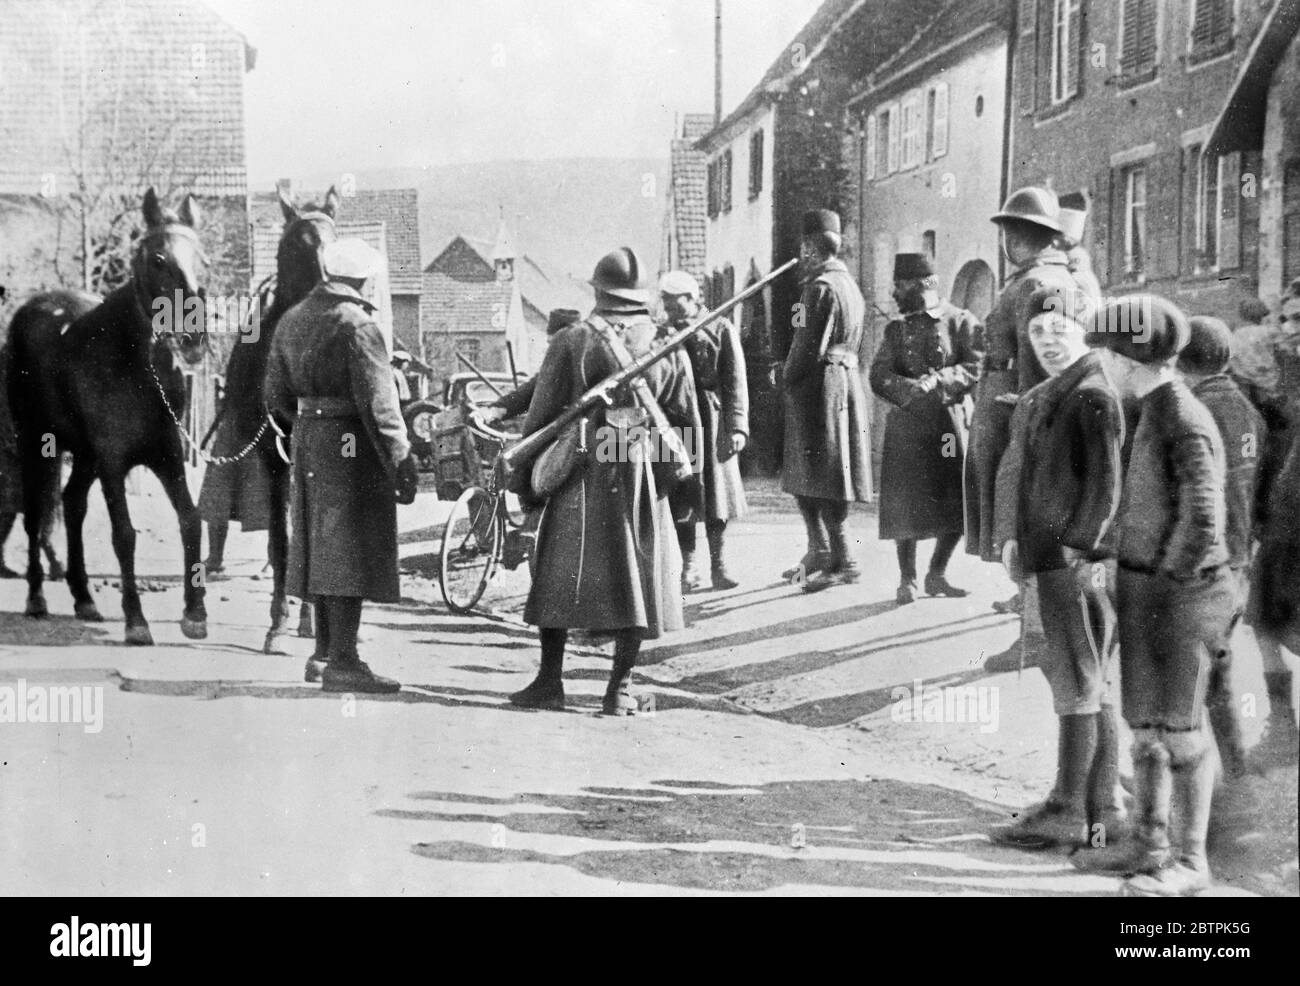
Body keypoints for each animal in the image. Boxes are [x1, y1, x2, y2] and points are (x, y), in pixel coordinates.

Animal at [7, 188, 210, 645]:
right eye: (158, 259)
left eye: (202, 259)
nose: (193, 338)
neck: (136, 364)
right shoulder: (115, 462)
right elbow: (125, 535)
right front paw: (136, 621)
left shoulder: (167, 455)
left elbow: (190, 519)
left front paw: (195, 613)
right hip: (35, 444)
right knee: (36, 514)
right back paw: (36, 598)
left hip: (84, 456)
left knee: (72, 504)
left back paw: (84, 598)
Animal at [218, 184, 340, 655]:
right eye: (296, 244)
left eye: (336, 238)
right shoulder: (272, 461)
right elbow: (281, 536)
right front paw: (279, 621)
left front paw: (309, 618)